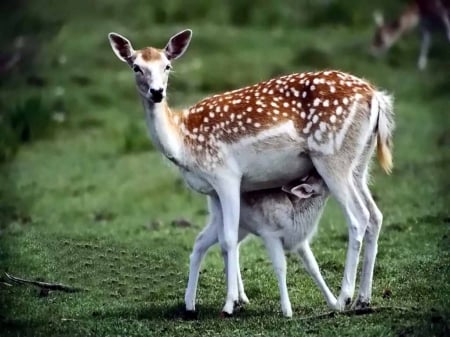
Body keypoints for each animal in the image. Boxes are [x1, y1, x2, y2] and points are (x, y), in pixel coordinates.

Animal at [108, 28, 394, 316]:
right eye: (136, 67)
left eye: (167, 65)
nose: (157, 92)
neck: (183, 144)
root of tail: (377, 97)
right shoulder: (212, 192)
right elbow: (224, 240)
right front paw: (216, 301)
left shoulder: (225, 175)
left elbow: (228, 239)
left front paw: (228, 305)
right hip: (359, 163)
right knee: (376, 215)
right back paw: (363, 299)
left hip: (331, 158)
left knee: (358, 218)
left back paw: (344, 297)